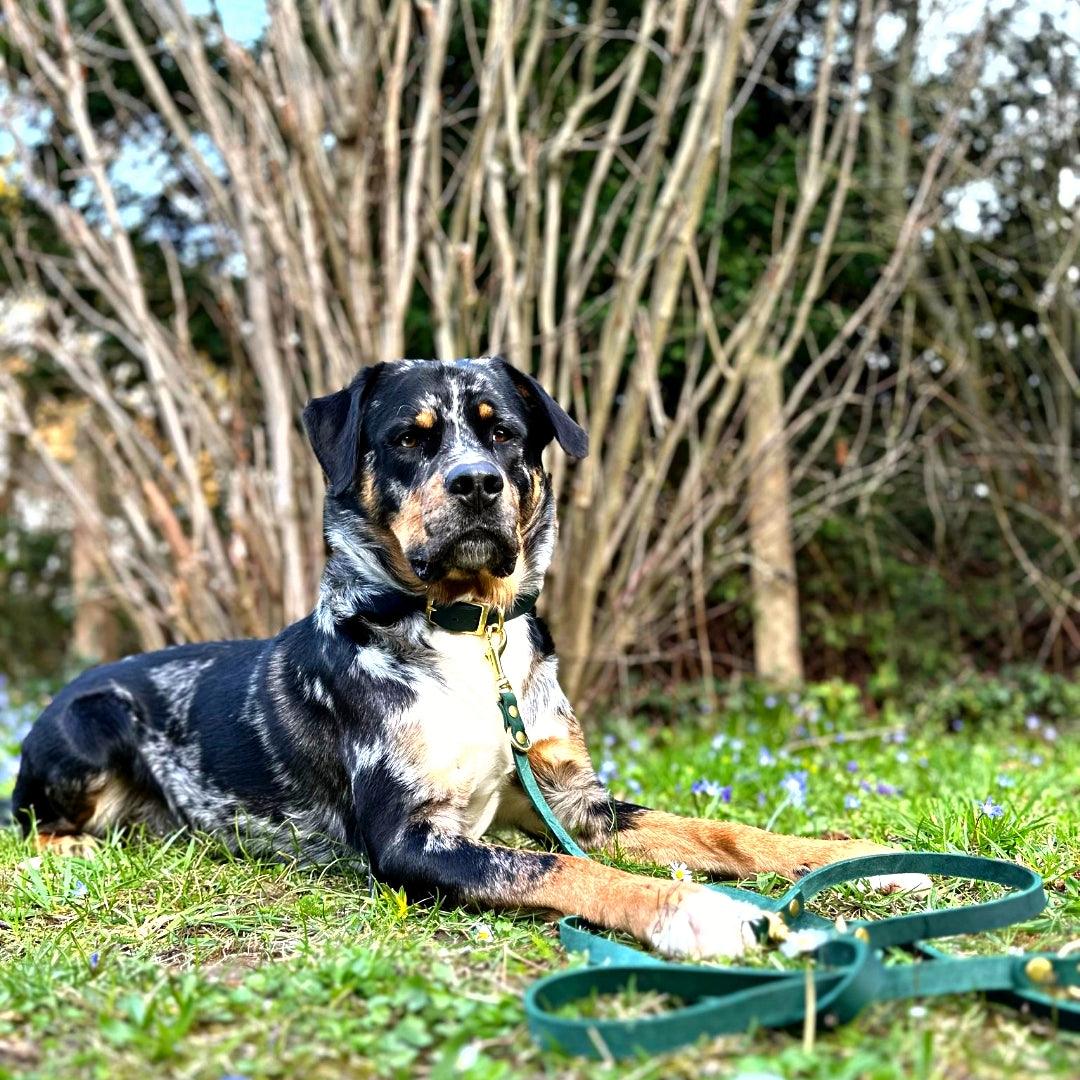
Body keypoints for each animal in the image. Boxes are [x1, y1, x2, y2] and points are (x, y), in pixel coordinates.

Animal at [10, 356, 928, 963]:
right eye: (409, 440)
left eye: (504, 432)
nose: (478, 482)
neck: (465, 633)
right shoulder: (411, 837)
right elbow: (562, 868)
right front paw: (697, 913)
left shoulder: (573, 798)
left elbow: (725, 831)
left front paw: (856, 860)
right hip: (89, 723)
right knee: (27, 826)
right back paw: (79, 846)